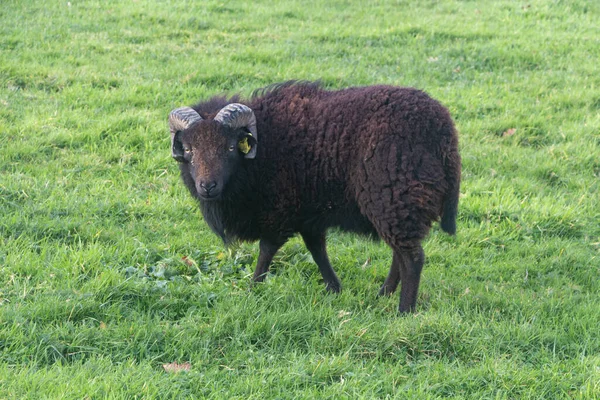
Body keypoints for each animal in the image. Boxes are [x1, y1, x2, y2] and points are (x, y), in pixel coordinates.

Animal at [169, 81, 460, 312]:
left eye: (230, 147)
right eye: (189, 149)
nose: (207, 186)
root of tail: (445, 132)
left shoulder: (279, 210)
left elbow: (266, 250)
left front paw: (254, 287)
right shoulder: (308, 212)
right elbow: (317, 249)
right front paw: (334, 287)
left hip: (394, 197)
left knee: (412, 258)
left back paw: (404, 310)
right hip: (397, 205)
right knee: (400, 252)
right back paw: (384, 293)